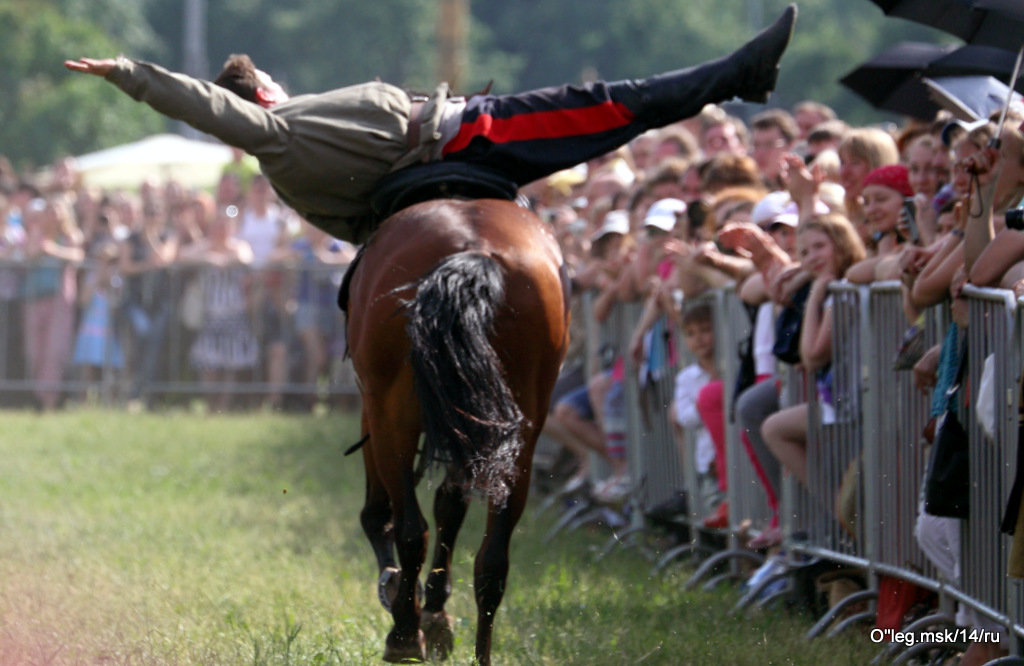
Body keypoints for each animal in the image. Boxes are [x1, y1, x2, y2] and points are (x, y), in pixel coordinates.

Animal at [344, 182, 569, 663]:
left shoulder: (375, 405)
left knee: (411, 530)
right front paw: (436, 614)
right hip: (521, 427)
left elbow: (382, 514)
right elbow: (452, 504)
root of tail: (474, 252)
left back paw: (404, 634)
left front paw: (409, 605)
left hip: (391, 413)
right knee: (493, 558)